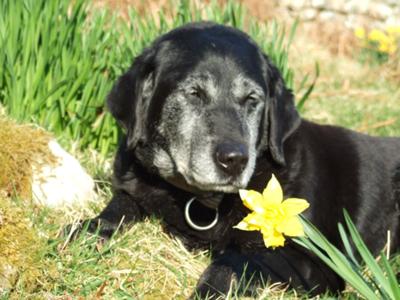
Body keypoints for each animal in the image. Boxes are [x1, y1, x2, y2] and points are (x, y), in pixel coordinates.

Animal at [87, 22, 400, 298]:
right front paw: (88, 232)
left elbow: (234, 260)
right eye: (194, 93)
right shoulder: (133, 189)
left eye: (251, 99)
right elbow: (114, 211)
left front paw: (210, 289)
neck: (201, 202)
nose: (235, 160)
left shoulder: (316, 263)